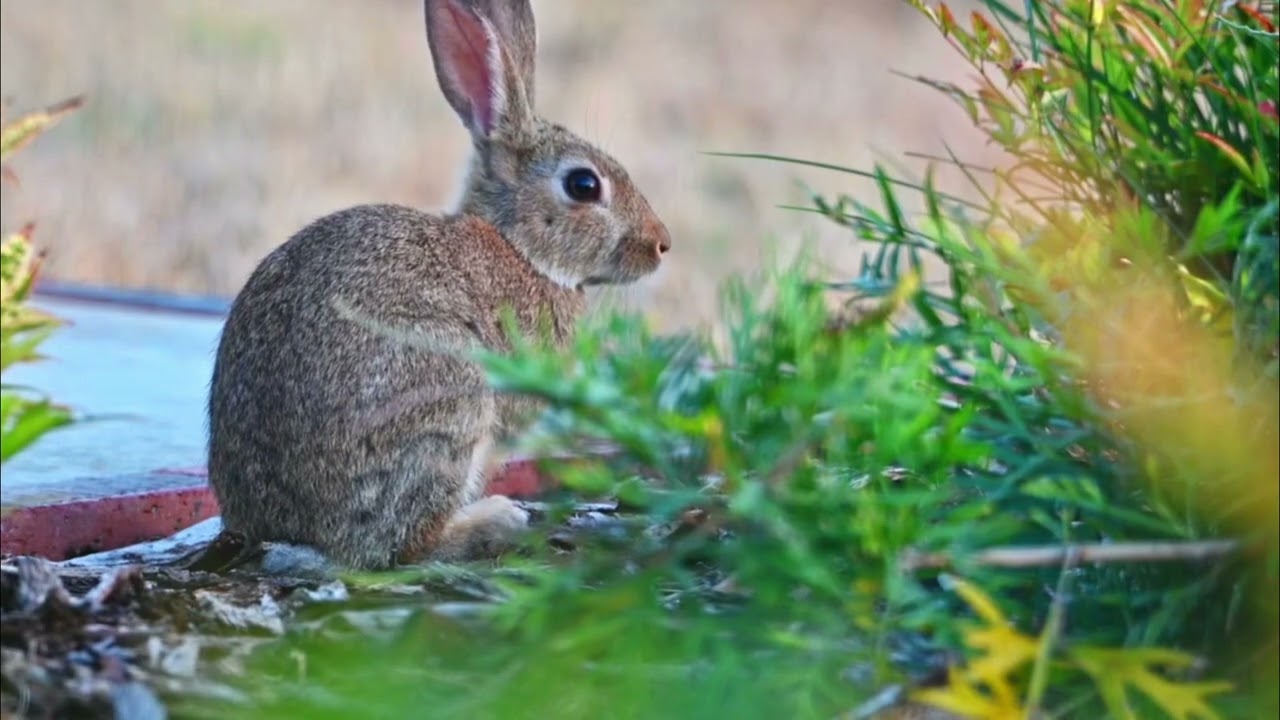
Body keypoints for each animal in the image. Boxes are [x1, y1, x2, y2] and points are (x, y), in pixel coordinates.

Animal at [205, 0, 671, 571]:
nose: (661, 244)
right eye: (584, 185)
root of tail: (287, 531)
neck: (520, 248)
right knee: (403, 546)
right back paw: (495, 521)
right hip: (447, 405)